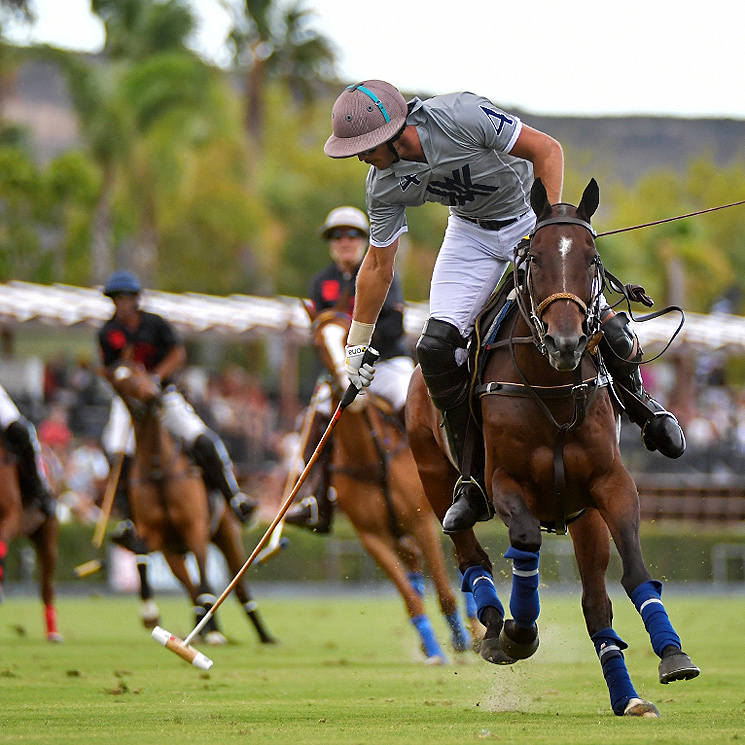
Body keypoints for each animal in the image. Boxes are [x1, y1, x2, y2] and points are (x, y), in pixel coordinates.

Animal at [109, 360, 274, 644]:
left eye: (144, 374)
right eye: (121, 384)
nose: (154, 398)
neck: (158, 469)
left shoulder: (195, 527)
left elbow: (207, 579)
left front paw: (213, 632)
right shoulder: (153, 534)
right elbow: (141, 553)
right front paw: (150, 613)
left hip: (227, 536)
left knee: (238, 588)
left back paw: (262, 636)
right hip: (173, 553)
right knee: (192, 588)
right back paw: (202, 627)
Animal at [300, 302, 470, 664]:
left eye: (347, 330)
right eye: (316, 345)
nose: (351, 387)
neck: (370, 460)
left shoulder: (422, 522)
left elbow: (445, 591)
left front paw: (465, 639)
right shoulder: (371, 536)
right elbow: (411, 599)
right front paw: (434, 651)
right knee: (414, 568)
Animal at [404, 179, 696, 716]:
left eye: (592, 257)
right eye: (535, 258)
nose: (566, 342)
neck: (553, 387)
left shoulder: (610, 483)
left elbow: (634, 567)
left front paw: (672, 653)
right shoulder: (504, 483)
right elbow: (523, 540)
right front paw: (517, 632)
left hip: (583, 517)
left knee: (595, 602)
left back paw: (627, 696)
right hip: (433, 477)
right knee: (469, 554)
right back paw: (493, 626)